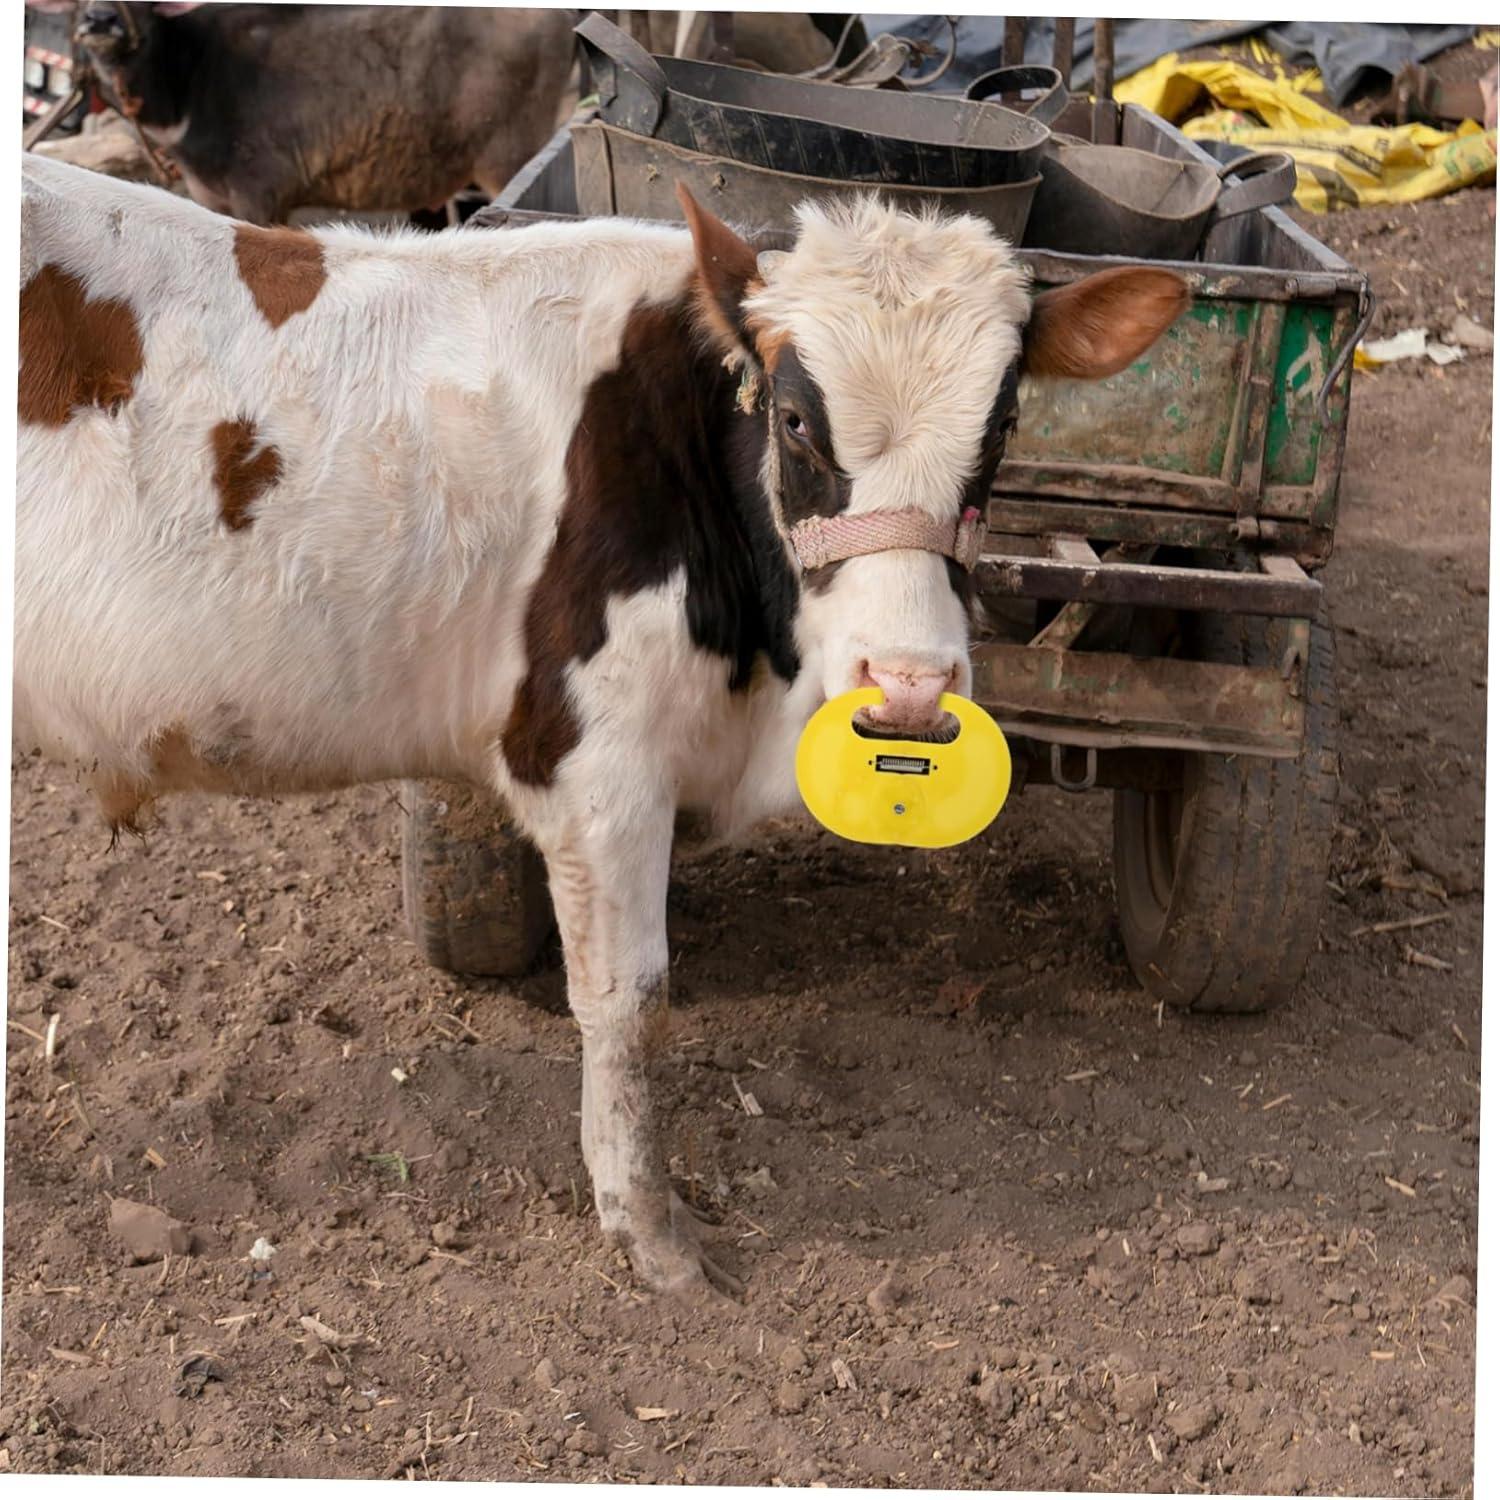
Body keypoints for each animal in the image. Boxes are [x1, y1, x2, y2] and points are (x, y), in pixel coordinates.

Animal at [17, 154, 1187, 1296]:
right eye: (796, 421)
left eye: (1004, 426)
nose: (905, 682)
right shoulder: (601, 768)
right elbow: (629, 1000)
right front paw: (652, 1231)